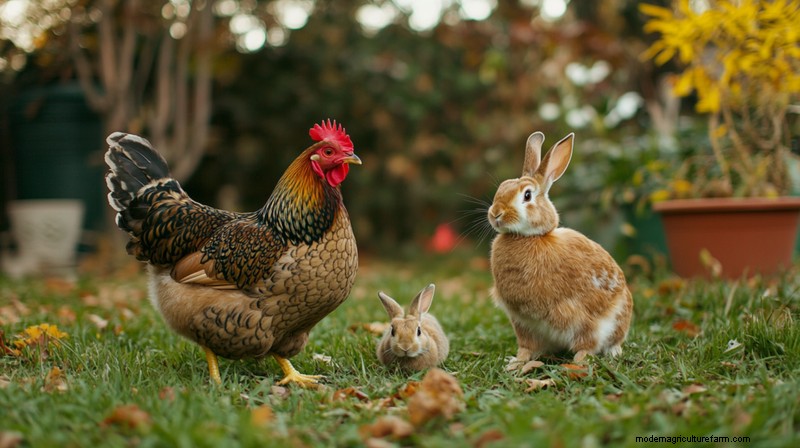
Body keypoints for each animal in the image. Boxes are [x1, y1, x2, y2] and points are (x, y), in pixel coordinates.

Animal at [487, 131, 633, 370]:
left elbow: (586, 345)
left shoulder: (584, 318)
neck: (529, 238)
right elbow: (525, 348)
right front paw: (516, 363)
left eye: (527, 196)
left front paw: (576, 365)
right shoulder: (522, 323)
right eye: (501, 187)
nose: (495, 214)